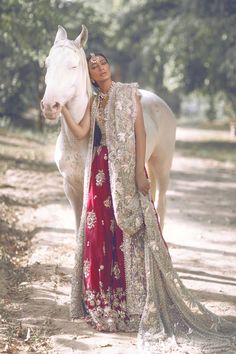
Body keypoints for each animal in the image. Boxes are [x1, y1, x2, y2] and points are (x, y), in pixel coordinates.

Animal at [41, 24, 176, 232]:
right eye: (48, 64)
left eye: (74, 66)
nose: (50, 106)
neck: (75, 140)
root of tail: (159, 102)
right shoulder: (71, 187)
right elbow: (77, 228)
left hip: (162, 164)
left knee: (161, 203)